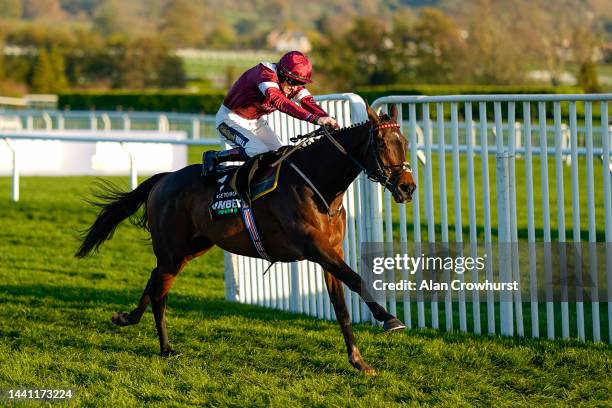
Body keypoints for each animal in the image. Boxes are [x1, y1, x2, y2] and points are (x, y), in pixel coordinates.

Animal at [75, 104, 416, 372]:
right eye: (382, 144)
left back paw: (128, 318)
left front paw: (358, 361)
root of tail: (164, 178)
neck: (319, 184)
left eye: (405, 142)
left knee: (153, 277)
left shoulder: (330, 252)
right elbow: (357, 280)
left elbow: (342, 308)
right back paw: (166, 348)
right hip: (173, 250)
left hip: (191, 248)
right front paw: (389, 319)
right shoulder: (315, 247)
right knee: (160, 292)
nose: (407, 187)